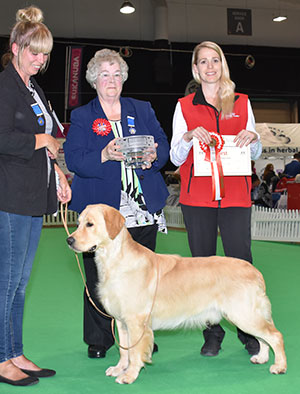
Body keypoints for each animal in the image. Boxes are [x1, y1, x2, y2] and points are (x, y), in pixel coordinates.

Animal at [67, 205, 288, 384]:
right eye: (78, 223)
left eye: (90, 224)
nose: (69, 240)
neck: (114, 259)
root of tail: (255, 271)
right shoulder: (121, 321)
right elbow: (124, 350)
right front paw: (119, 369)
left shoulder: (136, 321)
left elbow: (135, 352)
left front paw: (129, 376)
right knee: (264, 337)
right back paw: (261, 357)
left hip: (243, 314)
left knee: (275, 335)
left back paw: (279, 366)